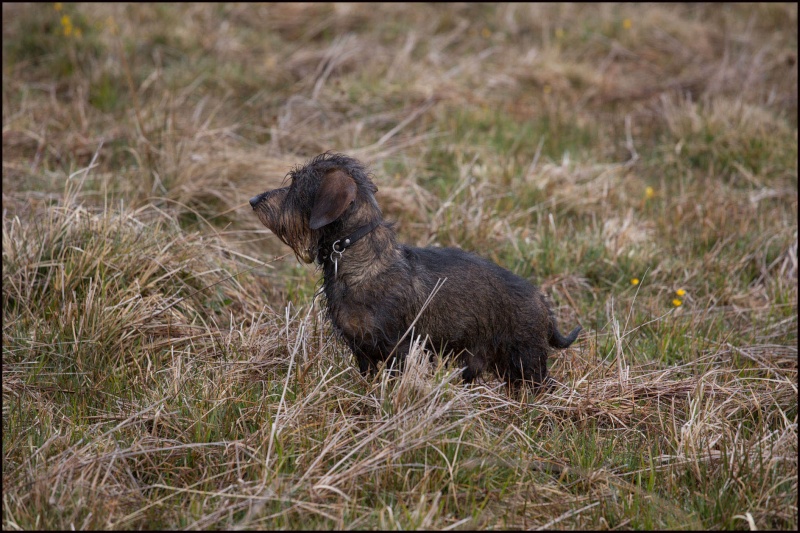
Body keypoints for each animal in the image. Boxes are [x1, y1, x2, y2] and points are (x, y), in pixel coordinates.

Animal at [250, 152, 580, 388]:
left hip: (526, 362)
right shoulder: (363, 351)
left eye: (297, 184)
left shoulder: (399, 349)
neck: (358, 255)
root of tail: (541, 301)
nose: (253, 199)